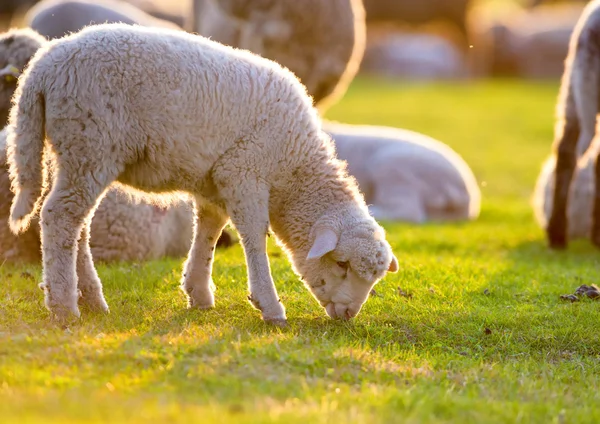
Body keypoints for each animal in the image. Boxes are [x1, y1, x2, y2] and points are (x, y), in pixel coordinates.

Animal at [8, 23, 398, 324]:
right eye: (342, 264)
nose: (347, 314)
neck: (293, 167)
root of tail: (43, 67)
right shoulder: (245, 171)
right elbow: (254, 235)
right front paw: (269, 306)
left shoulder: (214, 180)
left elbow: (209, 230)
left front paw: (198, 292)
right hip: (90, 143)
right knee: (59, 217)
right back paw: (64, 306)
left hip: (73, 154)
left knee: (78, 225)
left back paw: (91, 300)